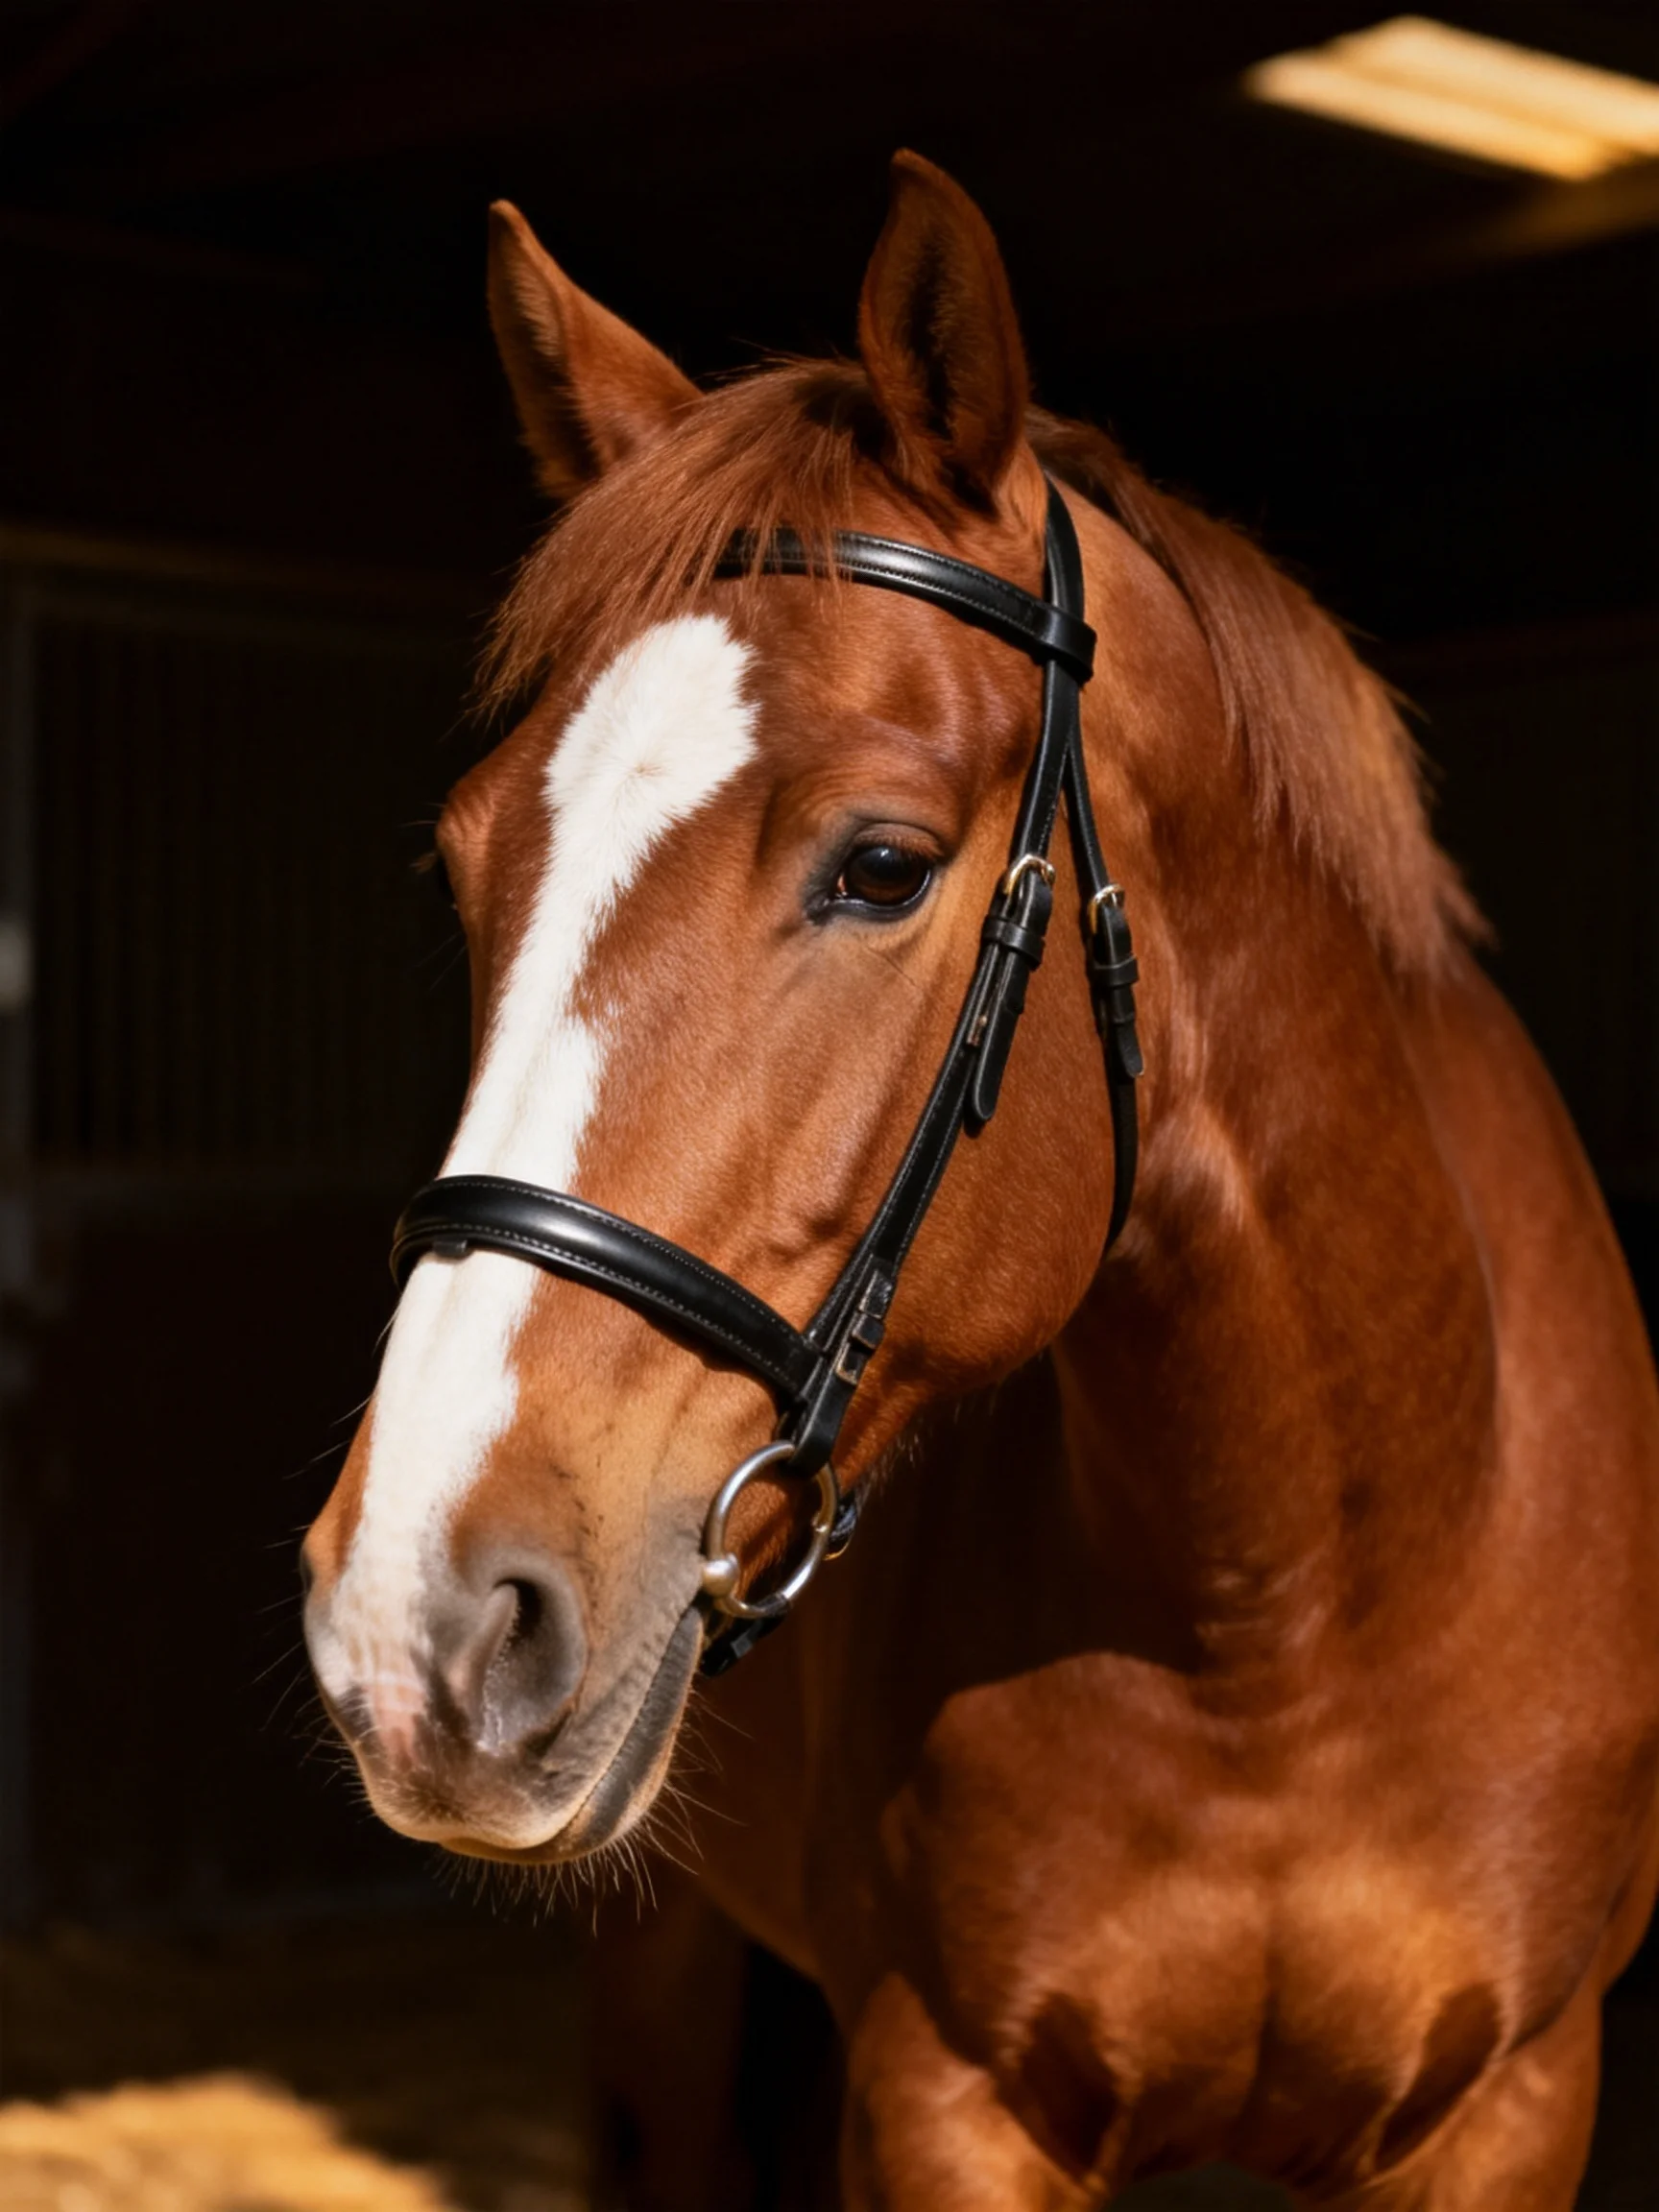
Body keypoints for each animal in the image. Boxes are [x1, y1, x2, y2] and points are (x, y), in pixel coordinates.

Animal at [301, 152, 1659, 2206]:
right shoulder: (942, 2096)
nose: (411, 1615)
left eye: (879, 864)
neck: (1292, 1614)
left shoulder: (1511, 2099)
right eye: (464, 868)